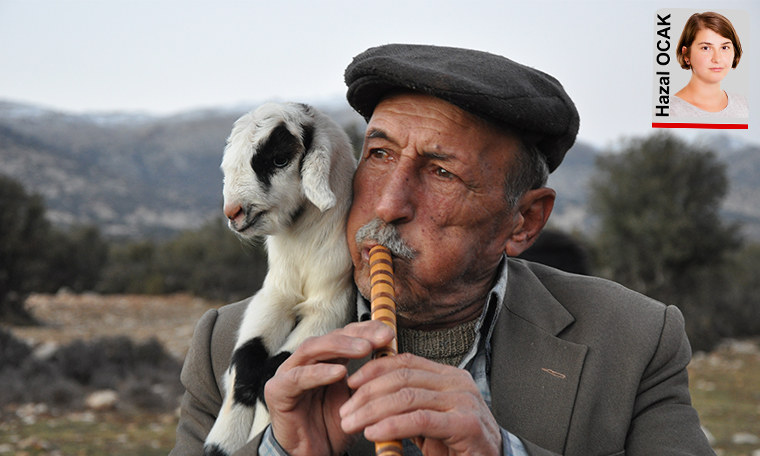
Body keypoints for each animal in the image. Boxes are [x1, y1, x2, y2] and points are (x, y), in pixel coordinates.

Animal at [205, 103, 360, 456]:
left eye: (279, 159)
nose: (233, 212)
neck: (302, 249)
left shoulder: (332, 303)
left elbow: (273, 372)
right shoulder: (274, 295)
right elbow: (245, 363)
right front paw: (221, 443)